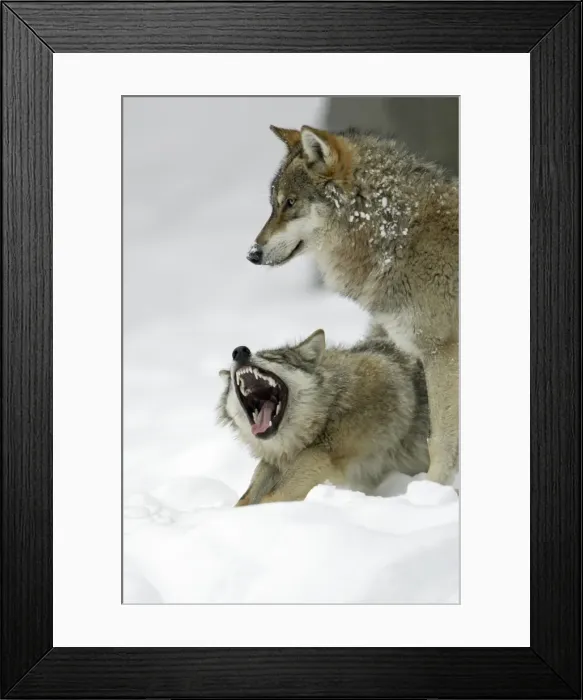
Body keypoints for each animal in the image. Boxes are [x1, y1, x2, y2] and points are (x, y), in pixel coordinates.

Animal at [217, 326, 430, 506]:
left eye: (275, 358)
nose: (240, 351)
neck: (330, 406)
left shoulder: (323, 453)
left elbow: (275, 493)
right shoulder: (275, 463)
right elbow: (247, 496)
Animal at [246, 125, 458, 485]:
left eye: (290, 203)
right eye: (274, 205)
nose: (252, 254)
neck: (397, 237)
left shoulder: (441, 352)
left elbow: (441, 439)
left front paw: (433, 489)